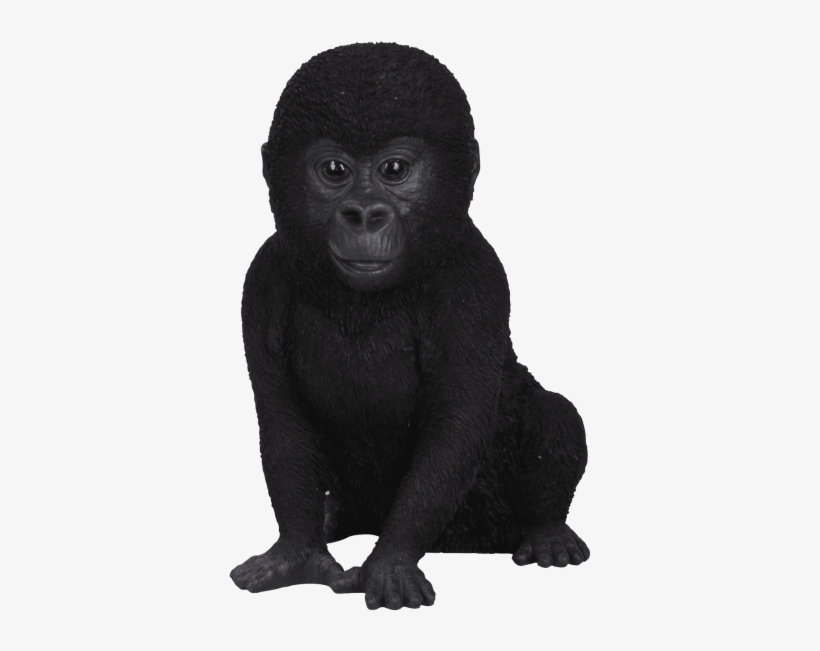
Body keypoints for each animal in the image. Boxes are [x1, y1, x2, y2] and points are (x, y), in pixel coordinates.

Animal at [230, 43, 589, 610]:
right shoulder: (262, 280)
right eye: (334, 170)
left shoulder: (474, 277)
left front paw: (390, 562)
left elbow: (456, 424)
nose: (363, 214)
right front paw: (297, 553)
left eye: (394, 169)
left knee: (556, 414)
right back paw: (336, 518)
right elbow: (282, 419)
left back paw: (548, 530)